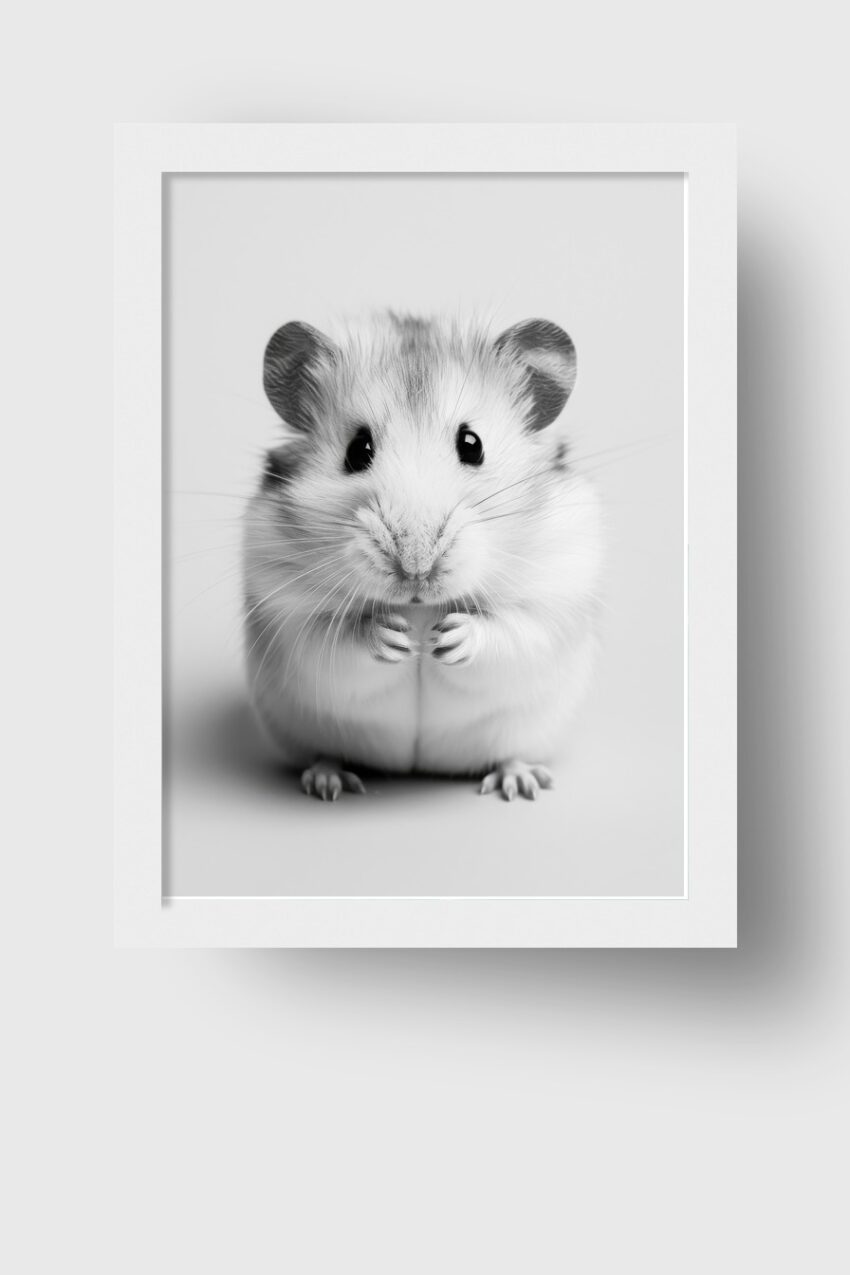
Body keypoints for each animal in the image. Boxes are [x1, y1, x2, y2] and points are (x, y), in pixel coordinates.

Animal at [242, 312, 603, 801]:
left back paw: (520, 783)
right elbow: (331, 640)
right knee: (324, 752)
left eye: (472, 444)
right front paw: (394, 638)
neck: (417, 608)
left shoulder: (554, 594)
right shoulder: (285, 611)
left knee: (511, 751)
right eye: (357, 450)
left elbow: (513, 632)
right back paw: (327, 782)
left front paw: (446, 637)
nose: (415, 568)